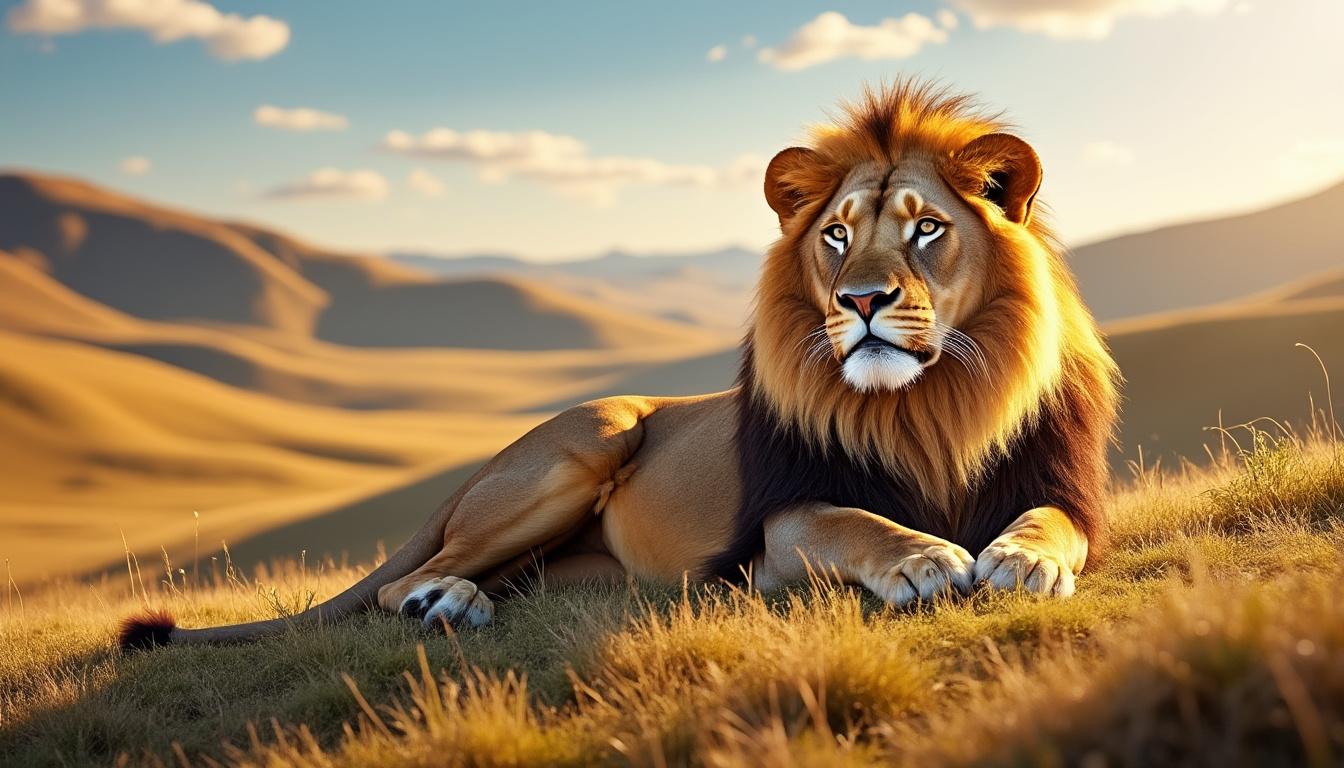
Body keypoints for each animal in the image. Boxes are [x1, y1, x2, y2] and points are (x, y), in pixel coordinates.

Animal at [120, 82, 1118, 649]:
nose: (859, 301)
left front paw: (1022, 560)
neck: (931, 403)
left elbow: (1050, 524)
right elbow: (852, 522)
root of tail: (480, 469)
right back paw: (442, 602)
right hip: (580, 450)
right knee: (407, 579)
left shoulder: (1063, 489)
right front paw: (921, 557)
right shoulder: (777, 531)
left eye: (927, 227)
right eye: (835, 236)